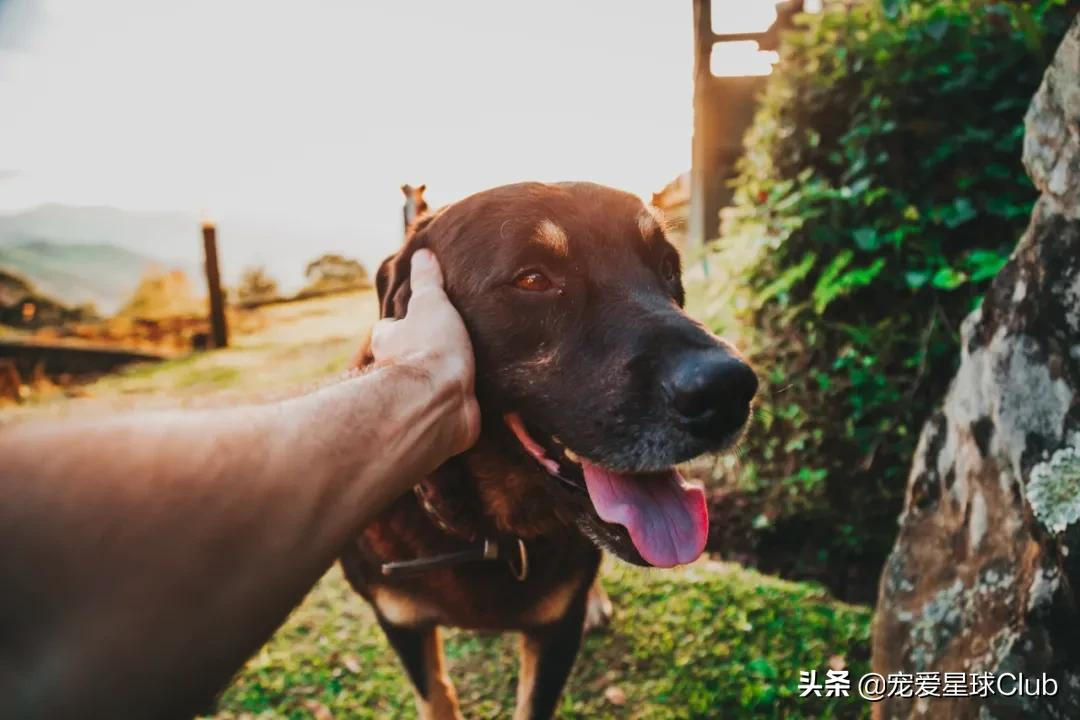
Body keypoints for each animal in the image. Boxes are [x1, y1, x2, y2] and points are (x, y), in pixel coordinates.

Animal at [341, 181, 756, 720]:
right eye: (533, 279)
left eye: (667, 266)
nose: (730, 392)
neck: (486, 531)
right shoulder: (401, 622)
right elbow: (437, 697)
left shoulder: (556, 630)